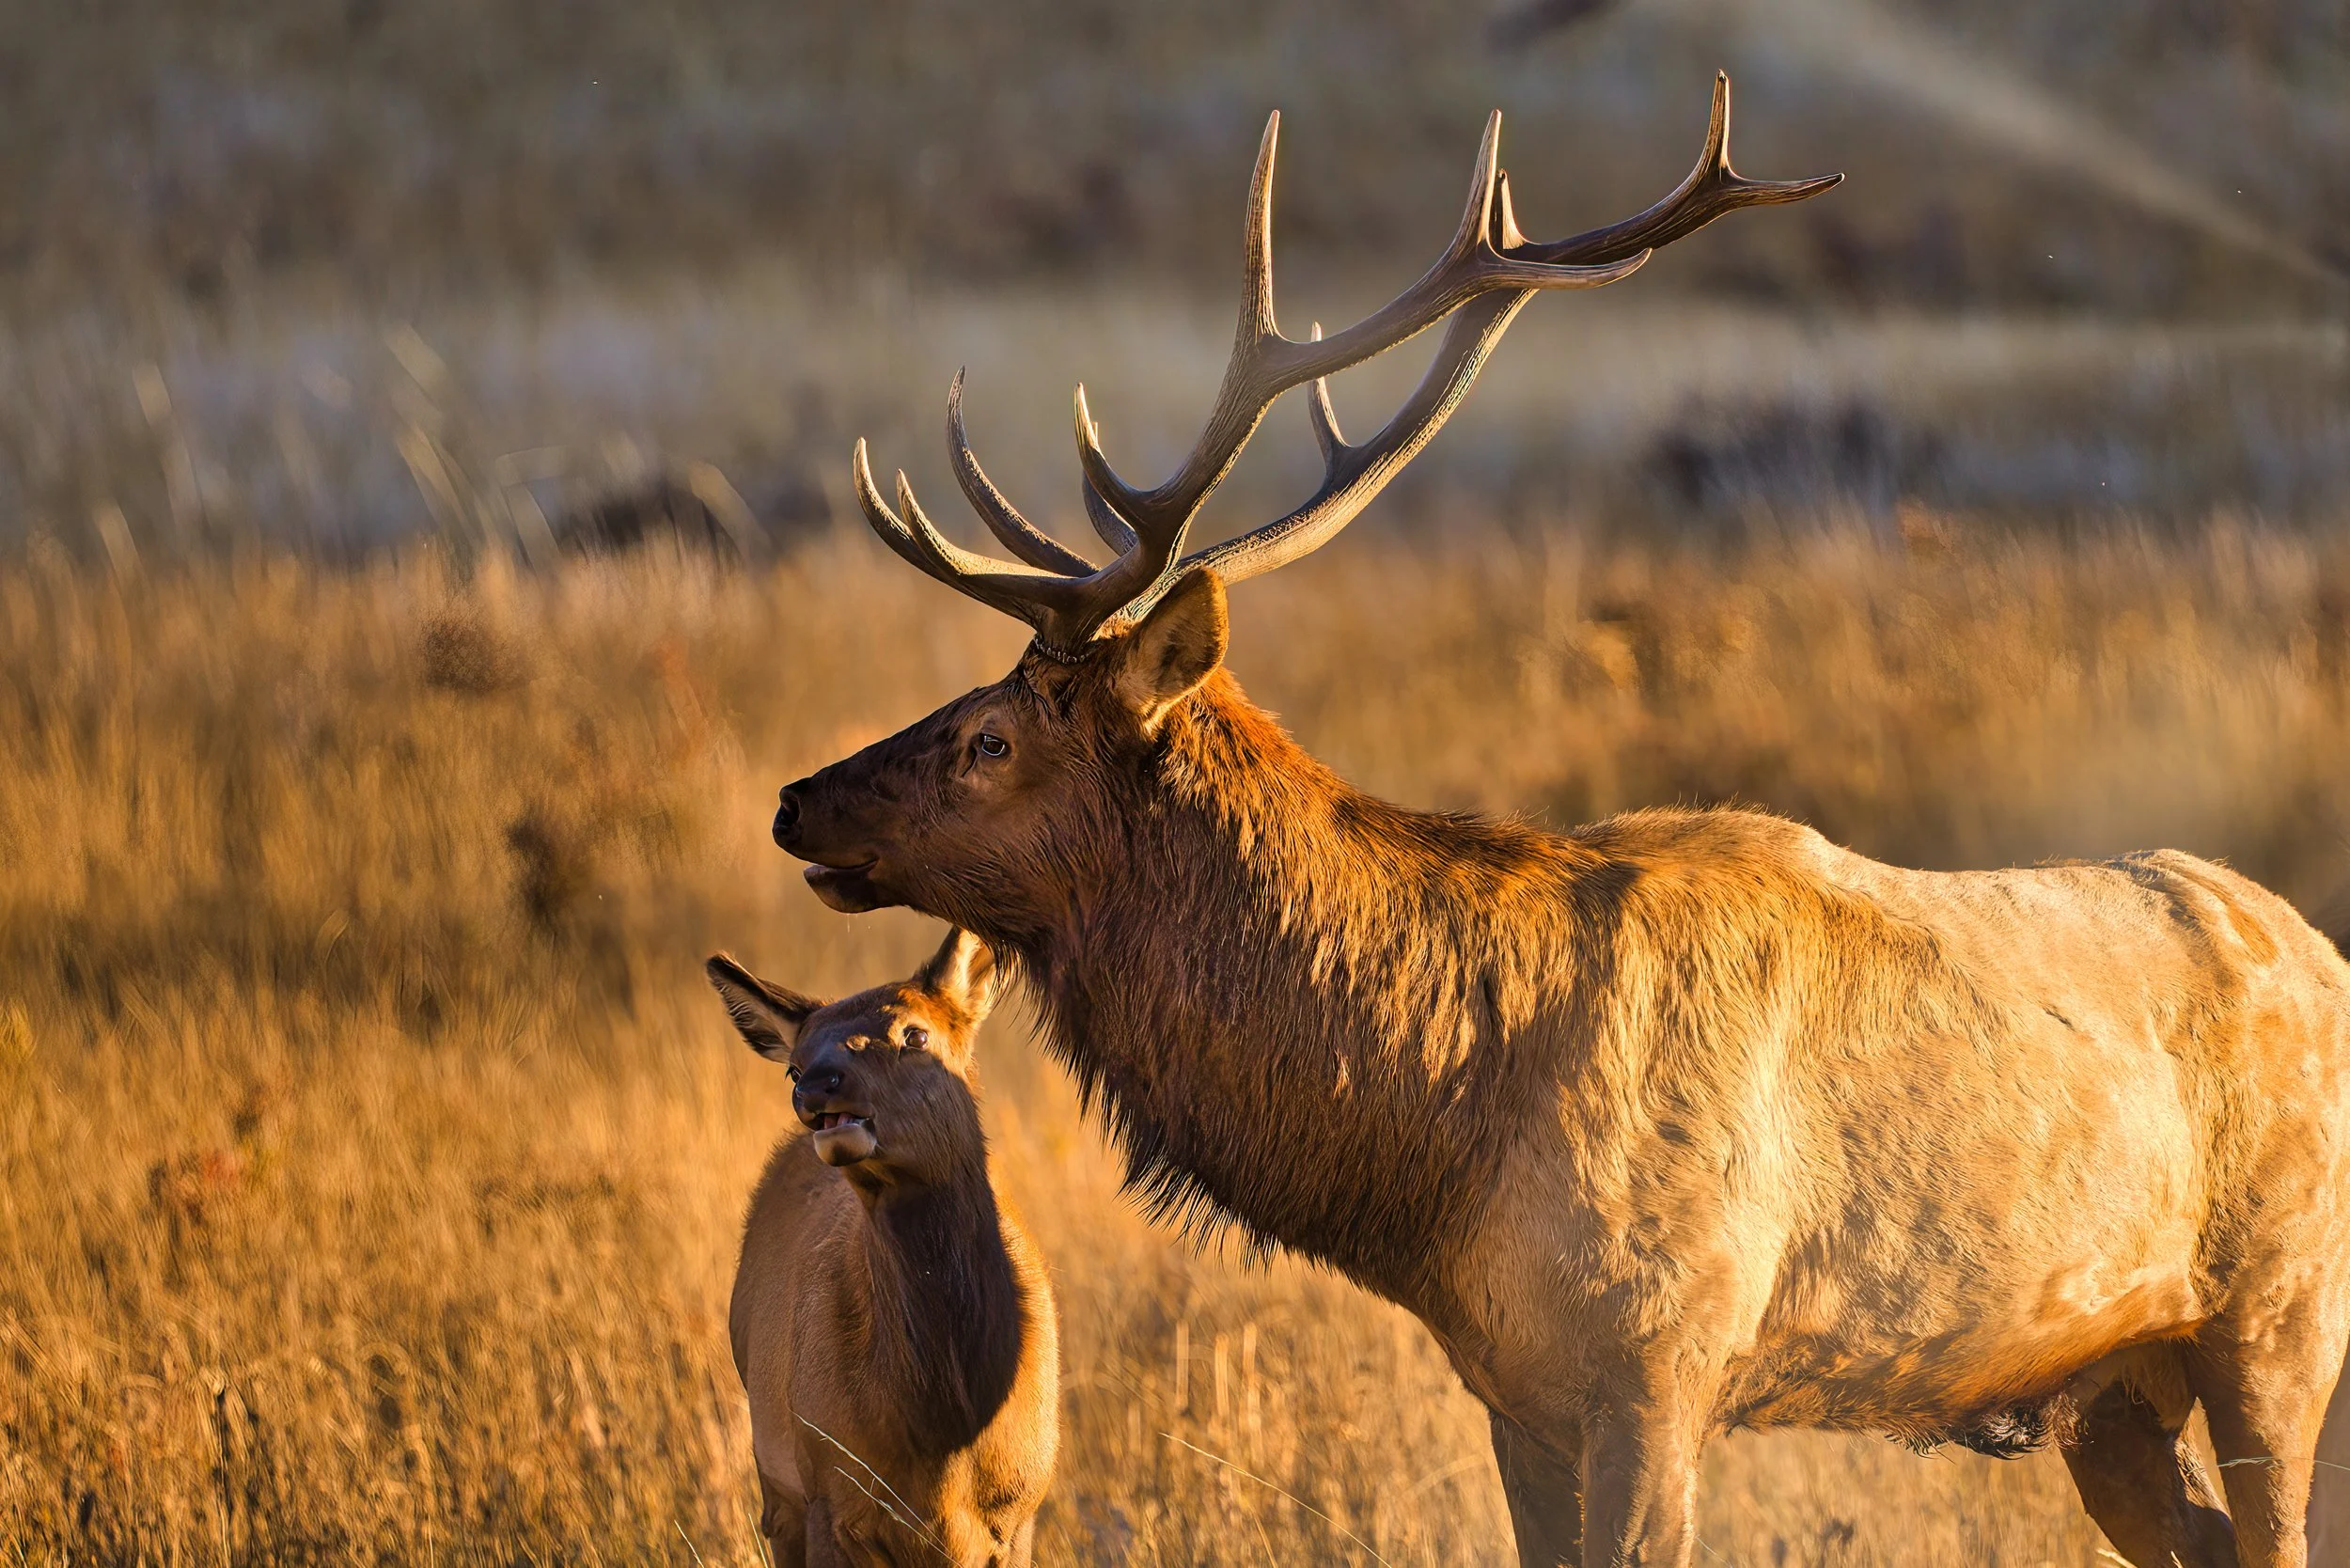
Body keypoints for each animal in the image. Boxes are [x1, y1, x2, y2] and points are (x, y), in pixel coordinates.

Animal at [706, 930, 1059, 1568]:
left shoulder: (1023, 1510)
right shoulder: (829, 1492)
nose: (816, 1086)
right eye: (792, 1066)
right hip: (778, 1480)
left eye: (915, 1033)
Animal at [766, 77, 2350, 1568]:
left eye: (992, 736)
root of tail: (2321, 947)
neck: (1441, 1145)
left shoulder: (1660, 1360)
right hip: (2113, 1389)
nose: (795, 801)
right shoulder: (1515, 1390)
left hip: (2280, 1316)